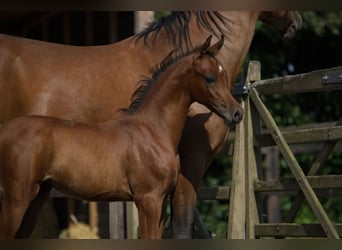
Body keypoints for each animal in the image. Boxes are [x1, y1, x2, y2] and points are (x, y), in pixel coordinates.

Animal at [0, 11, 302, 238]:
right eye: (209, 78)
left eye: (224, 75)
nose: (237, 113)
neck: (152, 130)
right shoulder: (149, 199)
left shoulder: (159, 203)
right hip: (17, 199)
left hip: (37, 196)